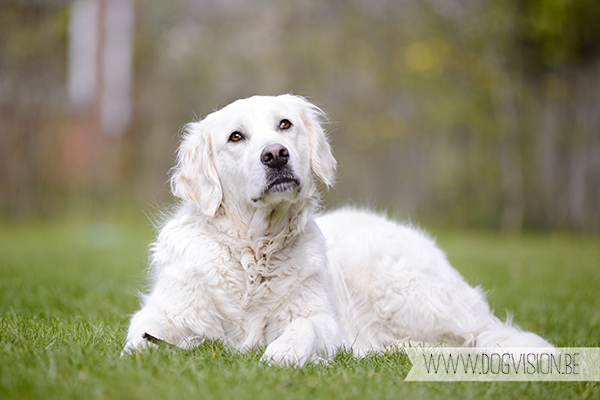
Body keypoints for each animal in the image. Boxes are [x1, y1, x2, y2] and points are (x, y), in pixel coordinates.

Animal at [123, 94, 552, 366]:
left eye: (285, 124)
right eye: (236, 137)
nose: (276, 154)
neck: (254, 251)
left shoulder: (320, 320)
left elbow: (303, 332)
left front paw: (282, 354)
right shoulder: (164, 313)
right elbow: (140, 338)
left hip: (410, 294)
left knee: (483, 335)